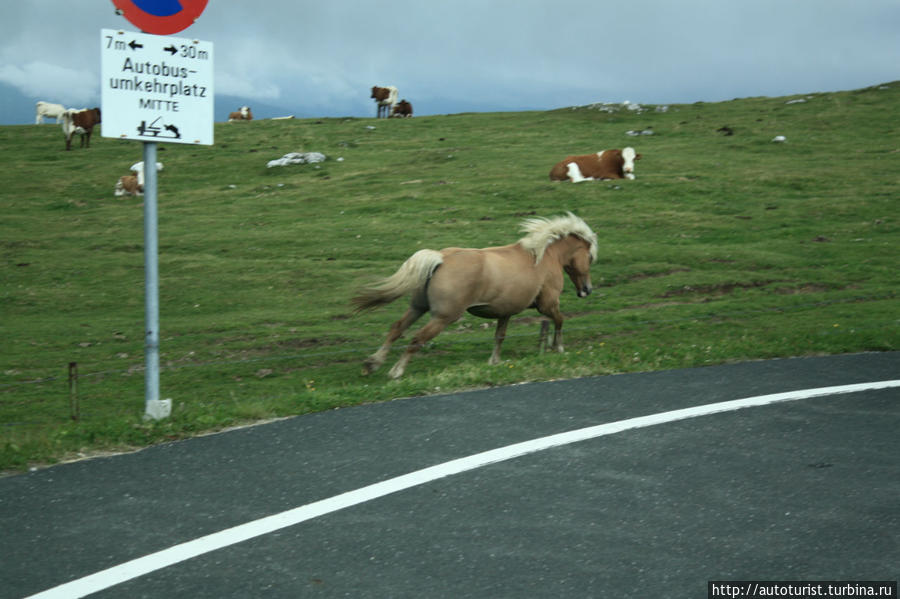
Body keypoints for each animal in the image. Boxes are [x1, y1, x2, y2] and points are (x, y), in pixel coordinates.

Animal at [352, 213, 596, 378]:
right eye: (590, 257)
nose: (587, 290)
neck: (543, 256)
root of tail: (440, 258)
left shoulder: (505, 312)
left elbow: (500, 336)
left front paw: (494, 361)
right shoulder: (547, 304)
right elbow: (560, 320)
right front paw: (559, 347)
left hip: (418, 308)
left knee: (396, 329)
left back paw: (372, 363)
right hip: (443, 317)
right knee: (416, 339)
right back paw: (396, 371)